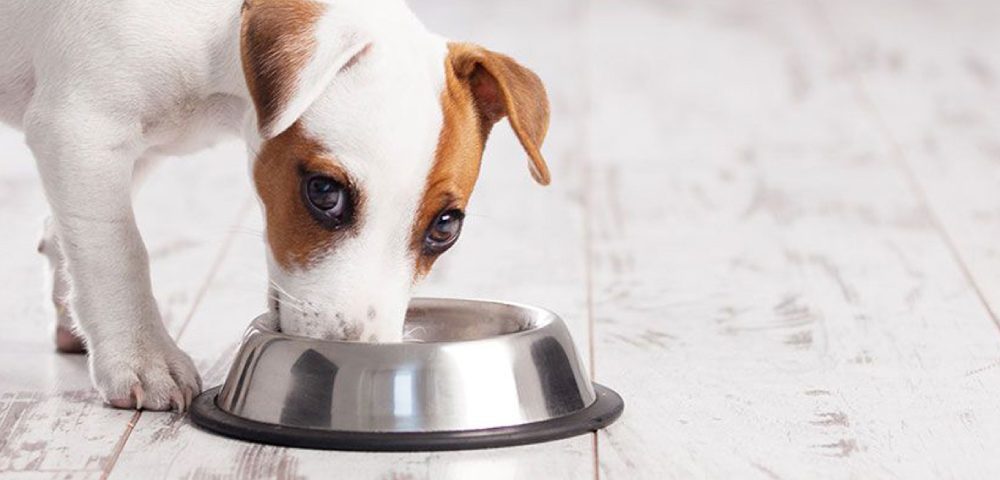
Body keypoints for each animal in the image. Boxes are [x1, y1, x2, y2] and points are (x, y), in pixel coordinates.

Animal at [0, 0, 552, 412]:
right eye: (325, 193)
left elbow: (70, 233)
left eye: (445, 227)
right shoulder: (81, 130)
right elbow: (115, 250)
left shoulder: (130, 151)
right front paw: (142, 356)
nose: (358, 358)